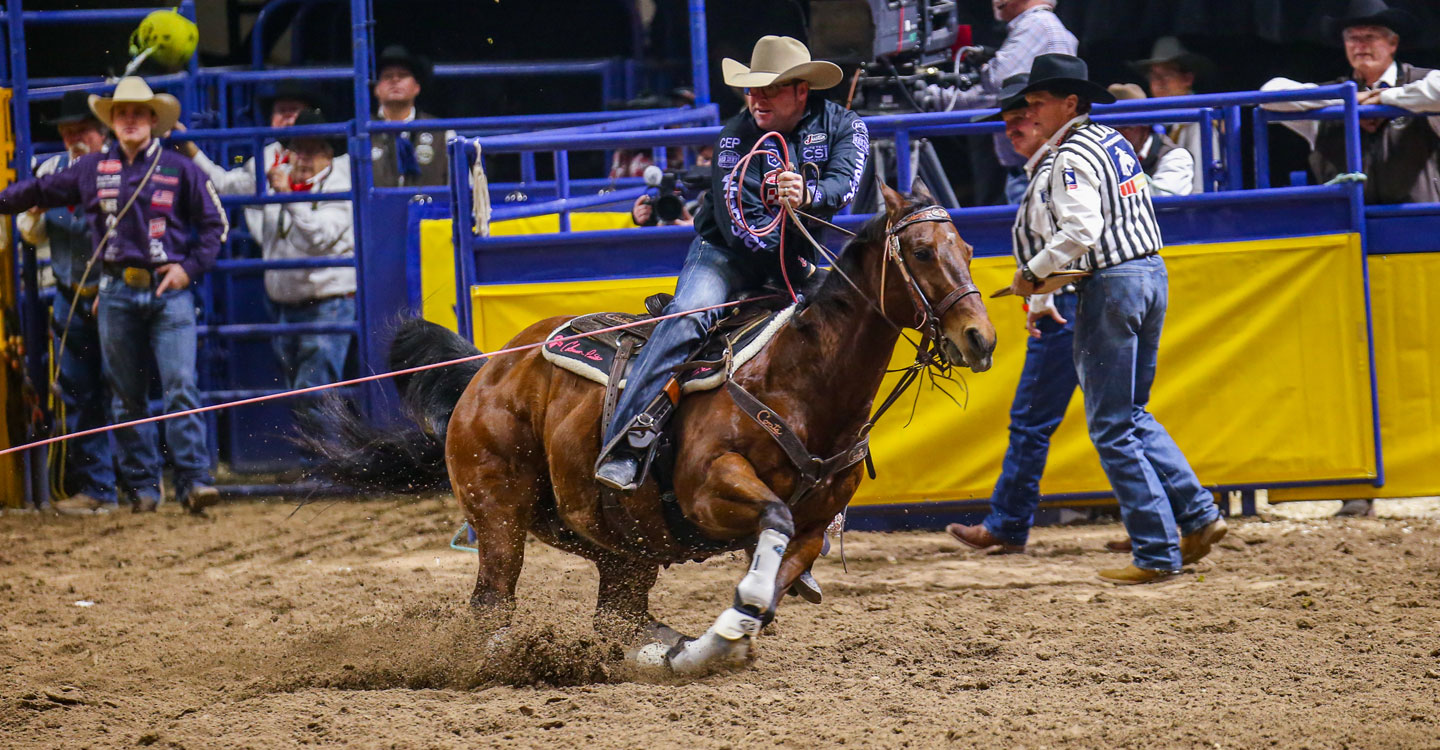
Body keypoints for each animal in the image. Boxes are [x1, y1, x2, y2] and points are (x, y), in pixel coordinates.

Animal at [313, 185, 990, 673]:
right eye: (922, 252)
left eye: (968, 250)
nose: (980, 338)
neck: (798, 383)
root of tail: (488, 368)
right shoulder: (709, 489)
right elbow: (770, 524)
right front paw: (718, 640)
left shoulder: (815, 527)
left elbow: (768, 591)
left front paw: (712, 644)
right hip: (500, 514)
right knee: (492, 608)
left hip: (621, 539)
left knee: (617, 614)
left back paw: (656, 649)